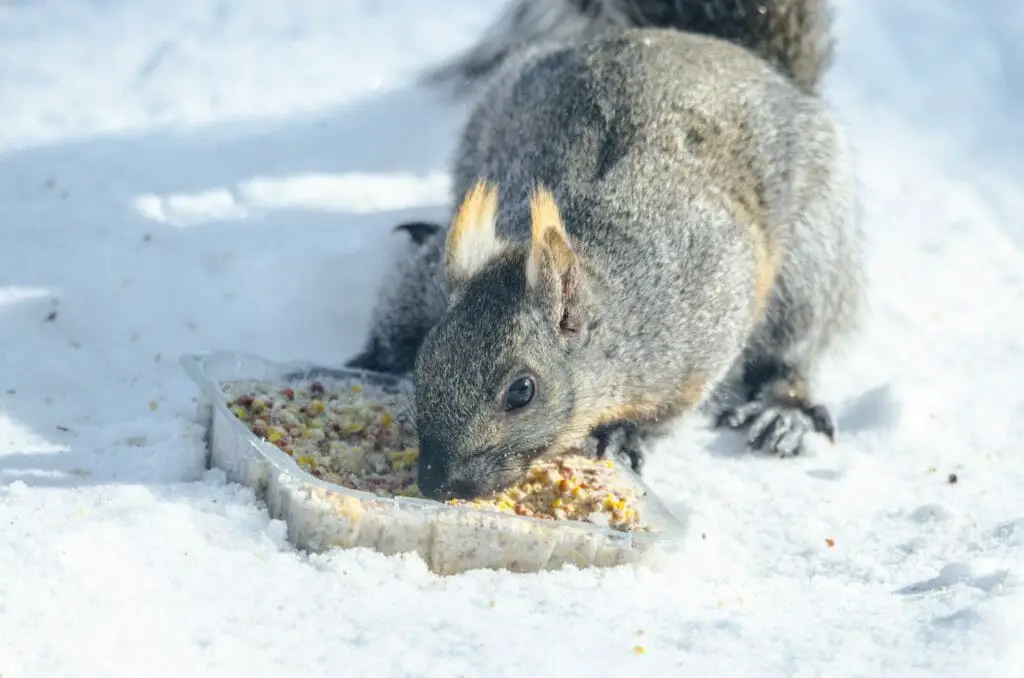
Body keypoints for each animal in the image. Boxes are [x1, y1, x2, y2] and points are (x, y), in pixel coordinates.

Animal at [346, 0, 864, 499]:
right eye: (427, 358)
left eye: (522, 391)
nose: (438, 483)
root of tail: (751, 59)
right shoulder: (431, 278)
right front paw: (378, 355)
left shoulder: (706, 322)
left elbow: (673, 409)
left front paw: (624, 433)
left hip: (812, 261)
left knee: (796, 349)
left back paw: (781, 411)